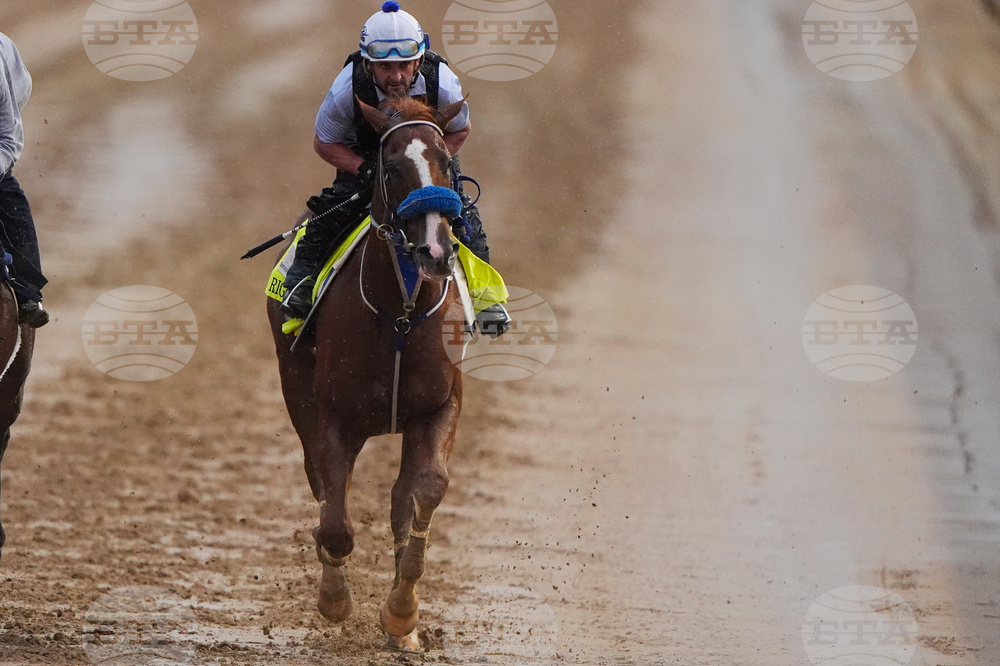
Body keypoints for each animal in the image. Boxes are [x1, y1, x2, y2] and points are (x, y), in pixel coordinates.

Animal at [267, 95, 469, 651]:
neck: (399, 312)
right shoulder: (334, 418)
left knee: (400, 495)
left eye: (446, 163)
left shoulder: (439, 405)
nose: (435, 251)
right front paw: (335, 601)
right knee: (320, 484)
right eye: (392, 168)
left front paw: (402, 615)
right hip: (296, 387)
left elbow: (423, 491)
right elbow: (336, 520)